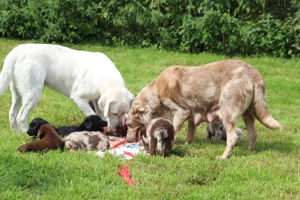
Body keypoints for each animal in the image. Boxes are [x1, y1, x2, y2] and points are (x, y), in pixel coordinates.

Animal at [0, 43, 134, 133]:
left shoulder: (97, 100)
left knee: (12, 113)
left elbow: (101, 114)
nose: (119, 128)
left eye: (125, 113)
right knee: (21, 116)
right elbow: (92, 114)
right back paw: (24, 132)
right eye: (114, 113)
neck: (104, 76)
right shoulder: (79, 98)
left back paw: (15, 133)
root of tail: (19, 50)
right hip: (33, 92)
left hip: (17, 92)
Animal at [125, 59, 282, 159]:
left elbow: (174, 131)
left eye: (129, 124)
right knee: (253, 133)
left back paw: (223, 157)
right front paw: (187, 144)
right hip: (248, 113)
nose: (127, 140)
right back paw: (249, 151)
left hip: (227, 111)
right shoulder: (191, 117)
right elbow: (190, 135)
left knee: (232, 136)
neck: (157, 91)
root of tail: (254, 73)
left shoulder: (181, 112)